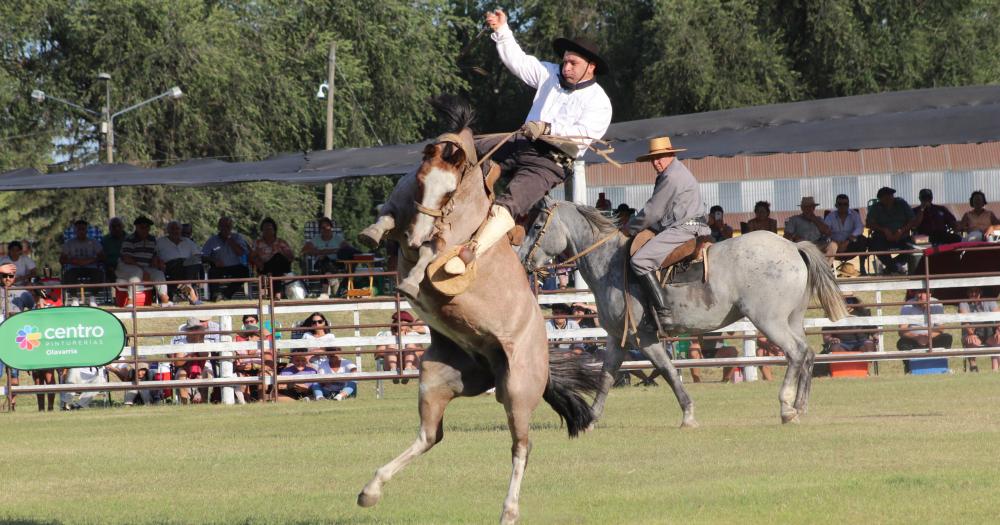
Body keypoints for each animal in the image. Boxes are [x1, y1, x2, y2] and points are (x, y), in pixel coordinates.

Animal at [356, 99, 596, 524]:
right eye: (421, 177)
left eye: (451, 189)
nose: (415, 236)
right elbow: (390, 215)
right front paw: (375, 232)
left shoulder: (445, 242)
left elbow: (434, 254)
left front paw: (412, 280)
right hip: (435, 378)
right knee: (430, 436)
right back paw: (370, 490)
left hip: (518, 391)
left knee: (521, 446)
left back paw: (509, 511)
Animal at [520, 200, 848, 426]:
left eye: (537, 227)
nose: (522, 259)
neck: (609, 265)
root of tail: (792, 248)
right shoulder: (618, 338)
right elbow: (606, 376)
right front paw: (590, 418)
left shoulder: (644, 338)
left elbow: (667, 371)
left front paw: (688, 414)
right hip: (791, 320)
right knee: (807, 353)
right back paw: (800, 406)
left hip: (769, 321)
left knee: (795, 353)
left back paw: (786, 406)